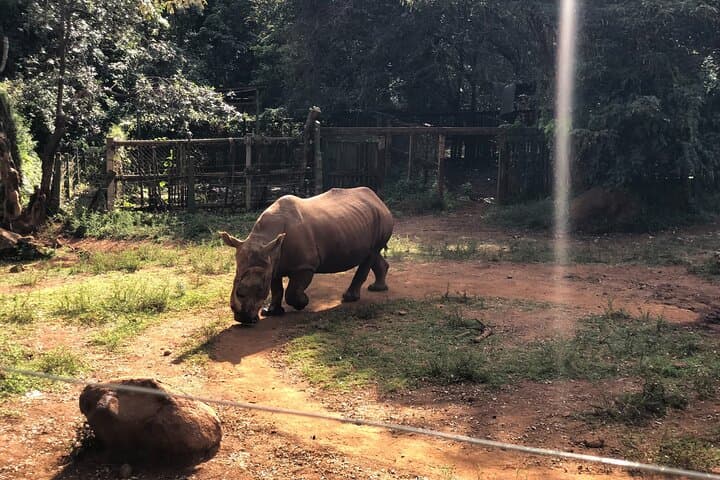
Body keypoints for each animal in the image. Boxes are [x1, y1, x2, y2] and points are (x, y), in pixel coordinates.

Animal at [220, 187, 394, 324]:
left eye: (260, 288)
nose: (242, 319)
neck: (264, 238)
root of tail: (378, 199)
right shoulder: (273, 261)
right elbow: (276, 288)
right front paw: (271, 312)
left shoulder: (304, 266)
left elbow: (291, 291)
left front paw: (303, 303)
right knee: (372, 254)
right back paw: (377, 289)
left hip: (380, 217)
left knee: (370, 255)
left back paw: (349, 298)